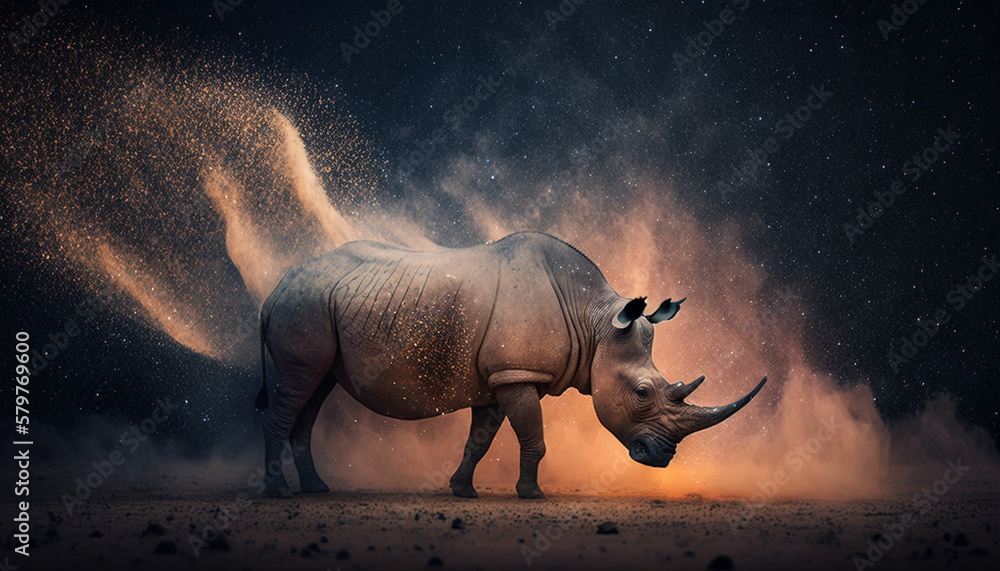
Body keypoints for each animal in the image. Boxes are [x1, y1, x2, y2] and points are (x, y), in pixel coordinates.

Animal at [256, 231, 765, 498]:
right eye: (642, 393)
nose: (662, 458)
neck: (596, 322)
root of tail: (276, 288)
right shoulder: (516, 374)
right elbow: (534, 438)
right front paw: (533, 495)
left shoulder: (503, 376)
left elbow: (480, 440)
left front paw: (462, 490)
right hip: (303, 305)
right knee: (299, 385)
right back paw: (279, 493)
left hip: (320, 304)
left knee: (315, 391)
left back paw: (316, 489)